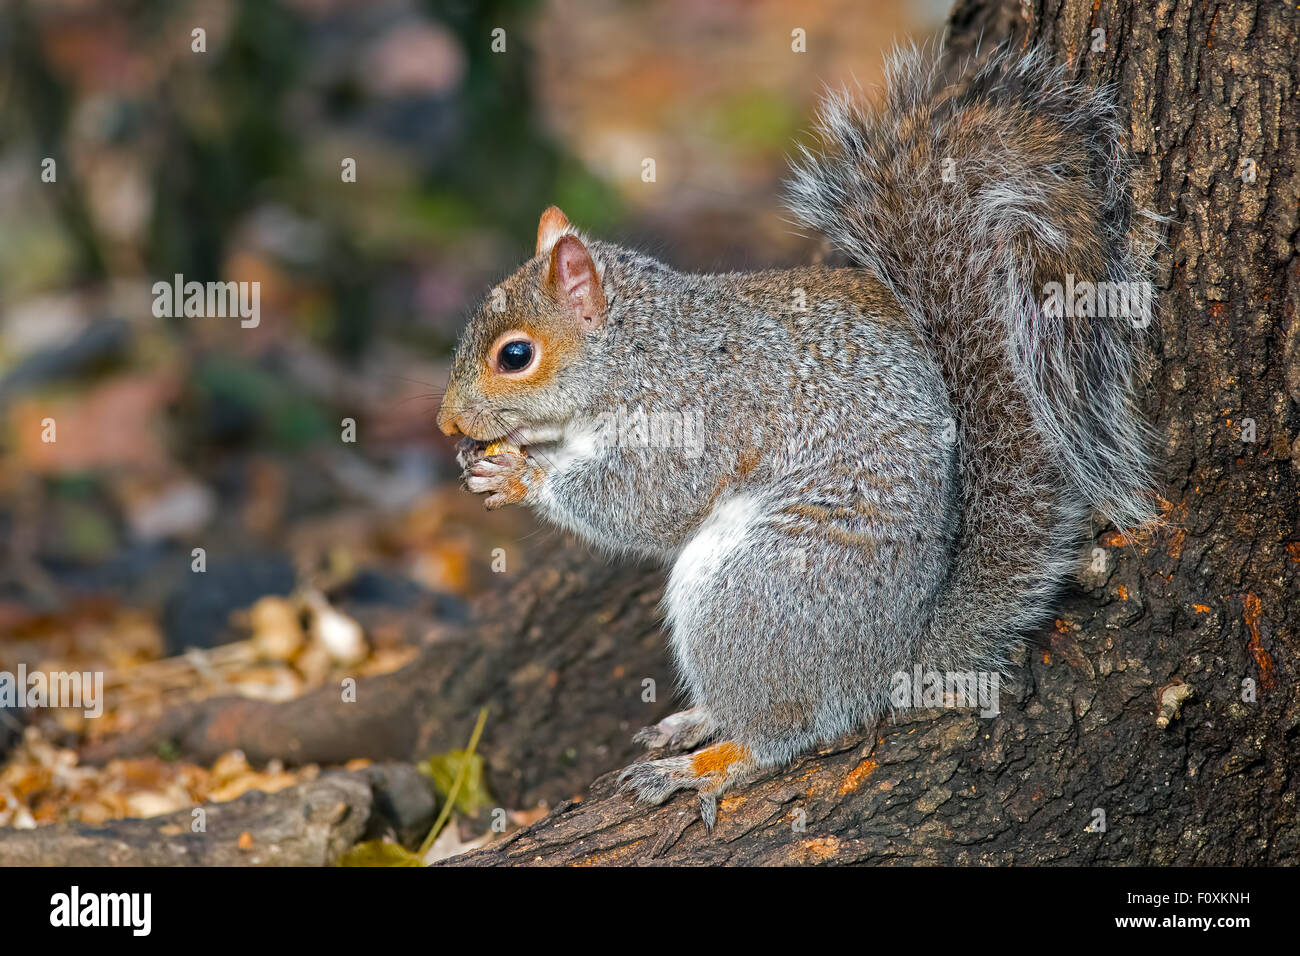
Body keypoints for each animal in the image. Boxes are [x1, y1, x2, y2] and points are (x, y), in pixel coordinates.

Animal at [436, 46, 1158, 828]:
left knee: (783, 730)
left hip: (758, 592)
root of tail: (890, 659)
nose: (445, 421)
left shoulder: (693, 413)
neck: (642, 349)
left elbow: (650, 502)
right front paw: (486, 460)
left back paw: (708, 763)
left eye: (515, 355)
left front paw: (522, 476)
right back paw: (695, 720)